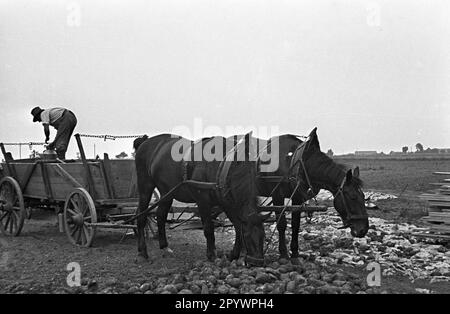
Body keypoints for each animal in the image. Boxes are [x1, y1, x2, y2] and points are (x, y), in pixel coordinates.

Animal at [133, 133, 268, 268]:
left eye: (263, 235)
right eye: (248, 236)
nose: (257, 263)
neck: (222, 165)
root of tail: (145, 142)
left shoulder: (228, 203)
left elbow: (238, 226)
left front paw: (233, 255)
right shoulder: (203, 201)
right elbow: (208, 228)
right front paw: (212, 255)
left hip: (167, 193)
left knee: (160, 215)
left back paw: (164, 246)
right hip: (145, 187)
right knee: (141, 216)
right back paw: (142, 252)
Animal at [253, 126, 370, 262]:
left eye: (363, 197)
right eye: (353, 197)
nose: (363, 229)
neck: (295, 161)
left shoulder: (297, 197)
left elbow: (296, 224)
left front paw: (295, 252)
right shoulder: (277, 196)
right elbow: (281, 224)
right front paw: (283, 253)